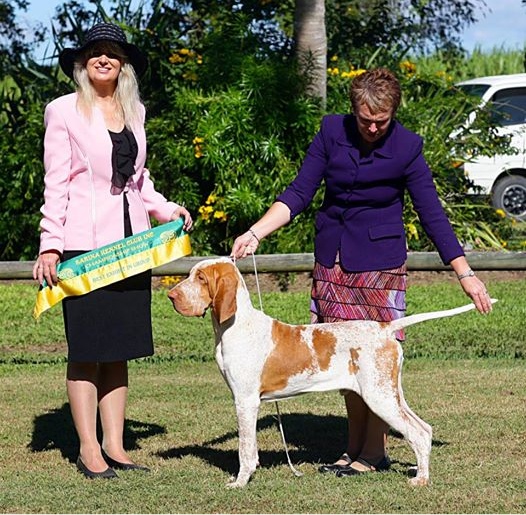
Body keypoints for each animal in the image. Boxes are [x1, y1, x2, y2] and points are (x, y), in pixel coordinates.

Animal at [168, 257, 496, 487]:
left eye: (200, 278)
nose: (171, 295)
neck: (234, 325)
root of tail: (385, 327)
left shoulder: (246, 401)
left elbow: (245, 449)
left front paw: (240, 481)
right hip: (390, 393)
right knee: (424, 429)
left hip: (379, 396)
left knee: (416, 432)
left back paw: (421, 480)